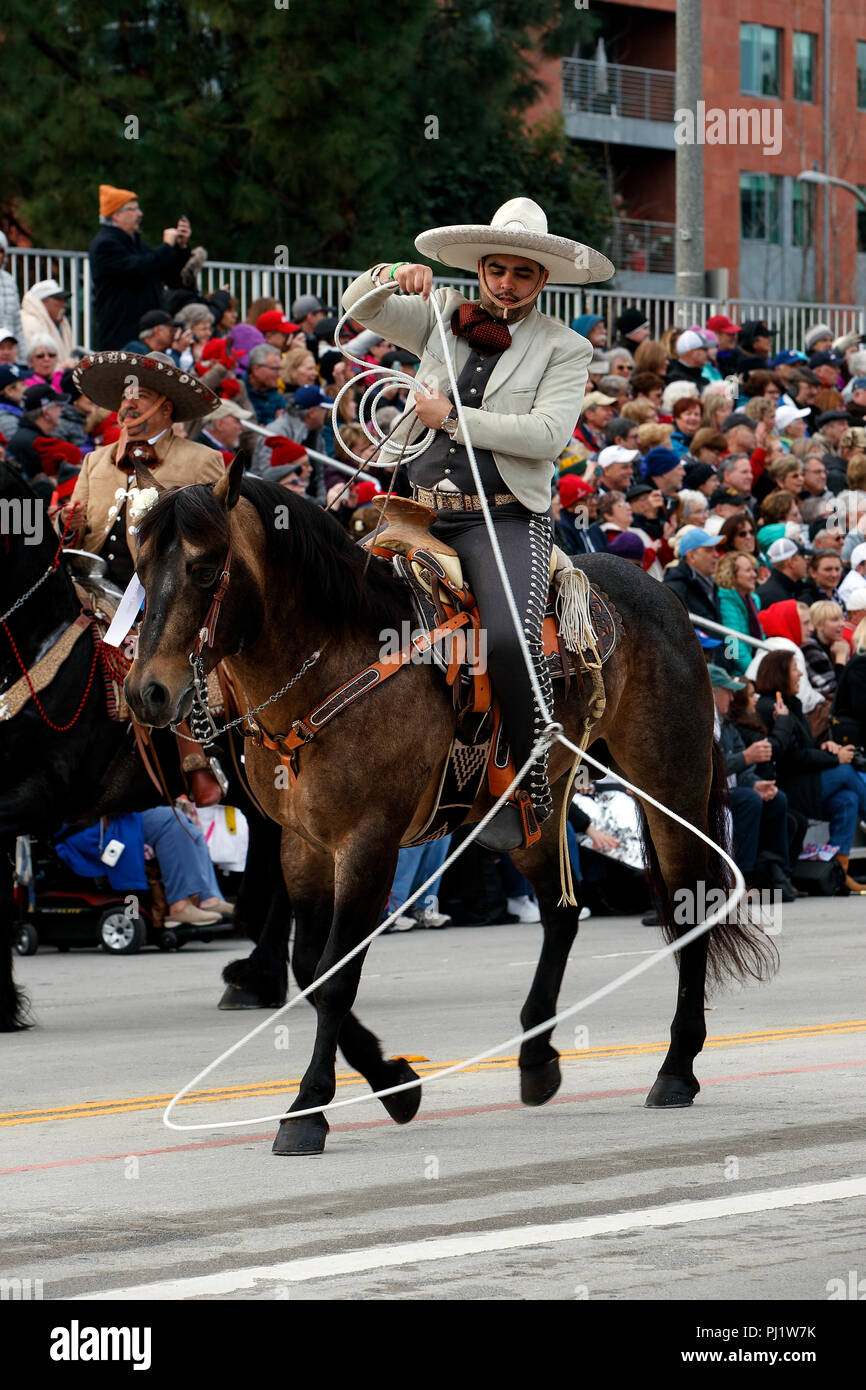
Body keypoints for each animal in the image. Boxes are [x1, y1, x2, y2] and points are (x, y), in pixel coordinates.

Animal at [125, 453, 778, 1150]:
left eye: (204, 569)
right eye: (137, 567)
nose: (146, 693)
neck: (330, 661)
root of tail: (660, 593)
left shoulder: (367, 843)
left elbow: (336, 976)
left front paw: (308, 1109)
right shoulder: (302, 845)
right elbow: (310, 968)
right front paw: (394, 1082)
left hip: (668, 784)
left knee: (687, 908)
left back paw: (676, 1068)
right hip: (534, 810)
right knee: (562, 915)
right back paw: (537, 1059)